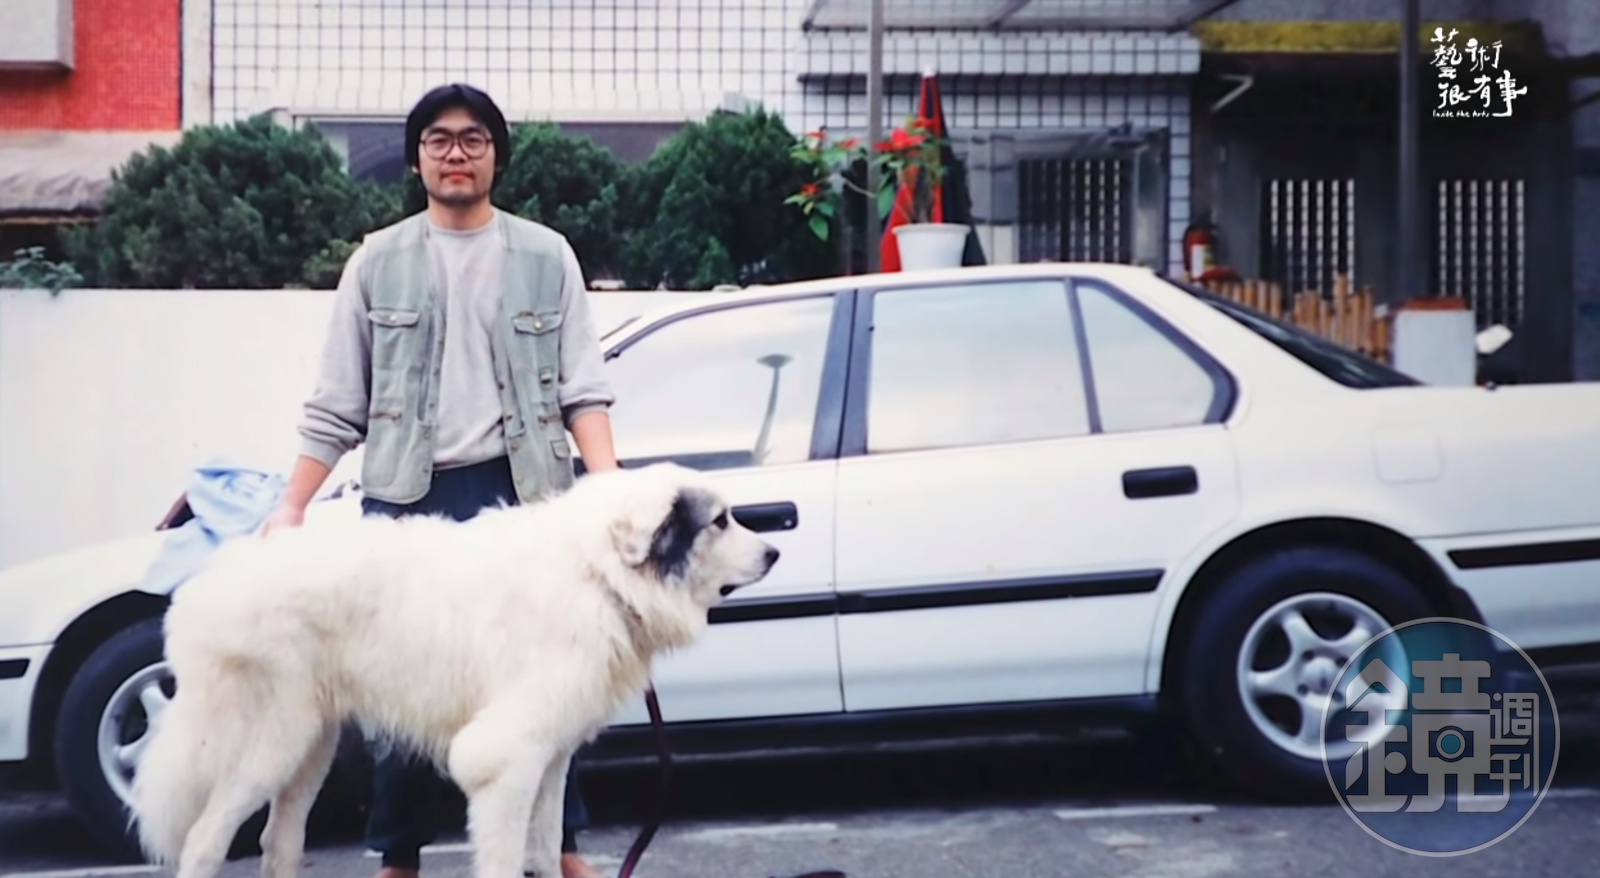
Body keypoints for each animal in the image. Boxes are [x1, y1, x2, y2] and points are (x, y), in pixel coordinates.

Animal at [129, 462, 779, 878]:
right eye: (720, 521)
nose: (774, 551)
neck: (599, 574)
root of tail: (206, 582)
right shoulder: (504, 757)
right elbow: (504, 859)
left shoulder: (549, 758)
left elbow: (546, 849)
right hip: (266, 744)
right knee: (204, 842)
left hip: (307, 748)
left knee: (277, 843)